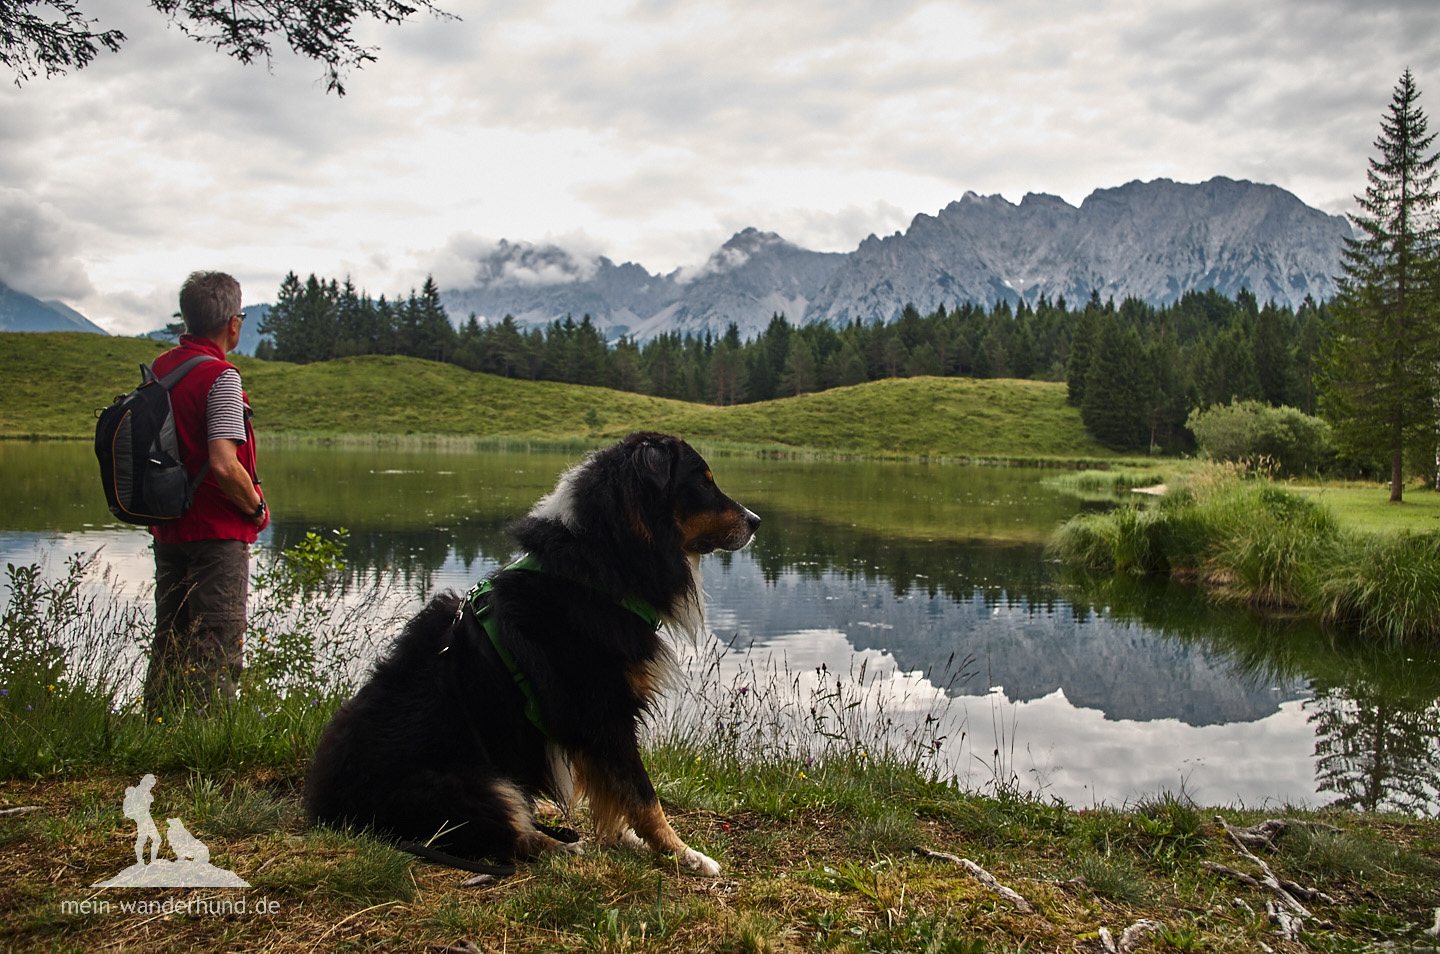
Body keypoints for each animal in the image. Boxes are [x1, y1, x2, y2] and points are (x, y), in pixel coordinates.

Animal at [299, 432, 760, 876]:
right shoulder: (602, 710)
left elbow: (612, 793)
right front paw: (683, 855)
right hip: (474, 783)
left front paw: (624, 839)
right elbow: (643, 796)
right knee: (512, 837)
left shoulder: (590, 722)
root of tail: (325, 809)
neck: (595, 568)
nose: (756, 521)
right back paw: (561, 846)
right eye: (703, 482)